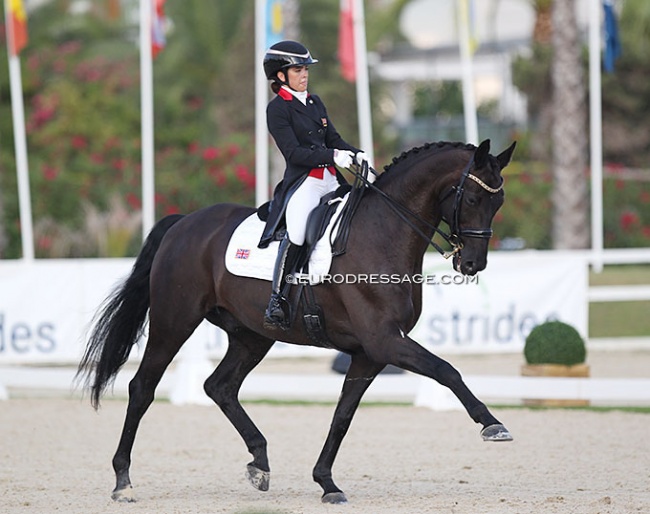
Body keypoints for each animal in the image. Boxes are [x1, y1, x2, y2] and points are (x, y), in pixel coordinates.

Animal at [79, 138, 516, 502]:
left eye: (498, 203)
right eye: (472, 197)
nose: (472, 264)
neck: (384, 233)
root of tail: (184, 222)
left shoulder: (370, 353)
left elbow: (342, 416)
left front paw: (327, 483)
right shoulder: (385, 341)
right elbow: (447, 370)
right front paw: (492, 425)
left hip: (252, 335)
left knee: (219, 386)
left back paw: (259, 464)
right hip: (175, 322)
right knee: (142, 388)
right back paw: (123, 482)